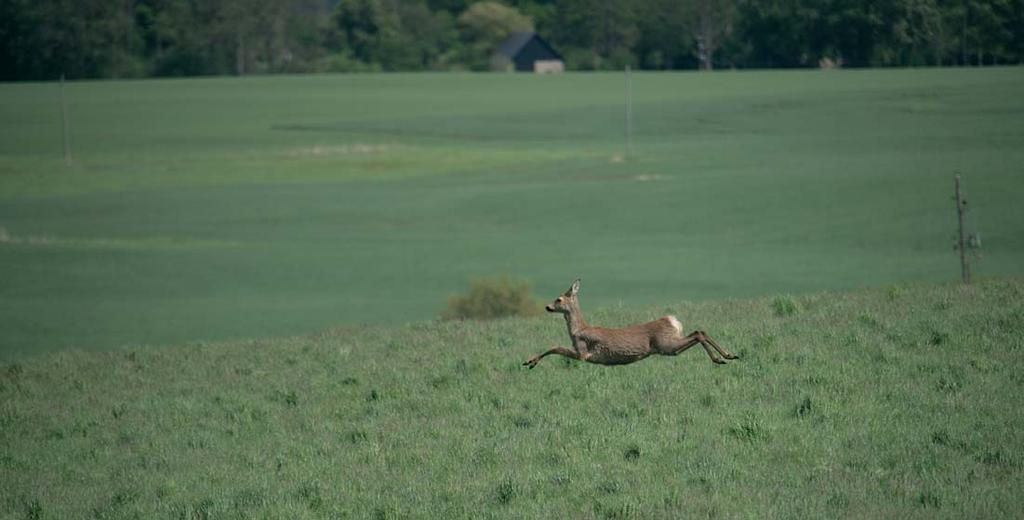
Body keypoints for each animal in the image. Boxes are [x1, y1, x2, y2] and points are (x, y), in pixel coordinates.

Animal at [528, 278, 737, 368]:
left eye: (559, 299)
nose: (547, 307)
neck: (578, 330)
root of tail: (673, 321)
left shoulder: (583, 353)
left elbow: (555, 347)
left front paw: (530, 362)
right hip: (670, 345)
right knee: (699, 331)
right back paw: (729, 355)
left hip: (666, 345)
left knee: (698, 333)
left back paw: (721, 358)